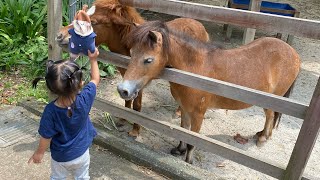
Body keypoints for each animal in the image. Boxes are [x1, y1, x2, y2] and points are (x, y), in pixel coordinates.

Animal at [55, 0, 210, 136]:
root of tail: (200, 26)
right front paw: (123, 118)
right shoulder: (127, 78)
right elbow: (127, 99)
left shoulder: (138, 81)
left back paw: (178, 111)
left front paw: (135, 131)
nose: (60, 35)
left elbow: (137, 105)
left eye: (93, 22)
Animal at [117, 20, 300, 164]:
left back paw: (263, 137)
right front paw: (179, 150)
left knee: (270, 115)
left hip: (273, 99)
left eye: (148, 60)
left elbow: (192, 140)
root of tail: (293, 52)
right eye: (131, 53)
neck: (195, 70)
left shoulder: (198, 114)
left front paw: (188, 161)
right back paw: (261, 134)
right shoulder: (185, 109)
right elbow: (184, 130)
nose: (123, 90)